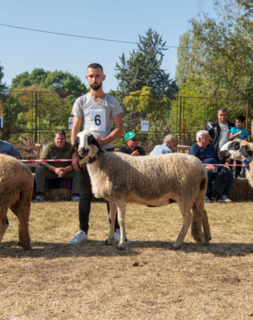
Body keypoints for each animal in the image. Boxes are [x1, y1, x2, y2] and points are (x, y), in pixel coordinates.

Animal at [70, 131, 211, 251]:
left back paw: (177, 243)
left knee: (188, 218)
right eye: (77, 138)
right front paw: (109, 240)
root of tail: (201, 168)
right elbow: (111, 219)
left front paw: (121, 244)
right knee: (202, 212)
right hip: (196, 194)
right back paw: (206, 239)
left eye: (90, 138)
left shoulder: (120, 198)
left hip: (185, 195)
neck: (103, 162)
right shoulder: (112, 198)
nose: (83, 150)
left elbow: (120, 220)